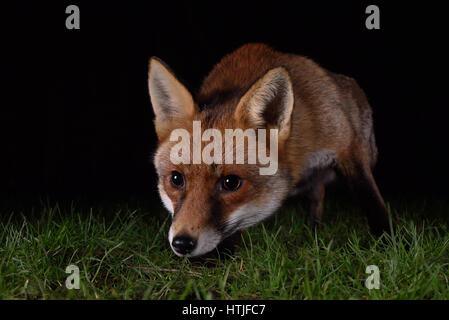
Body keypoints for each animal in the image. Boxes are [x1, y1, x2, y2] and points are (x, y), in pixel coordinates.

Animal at [147, 43, 392, 258]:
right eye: (176, 179)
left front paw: (388, 243)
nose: (182, 243)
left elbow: (372, 200)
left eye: (230, 182)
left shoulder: (347, 147)